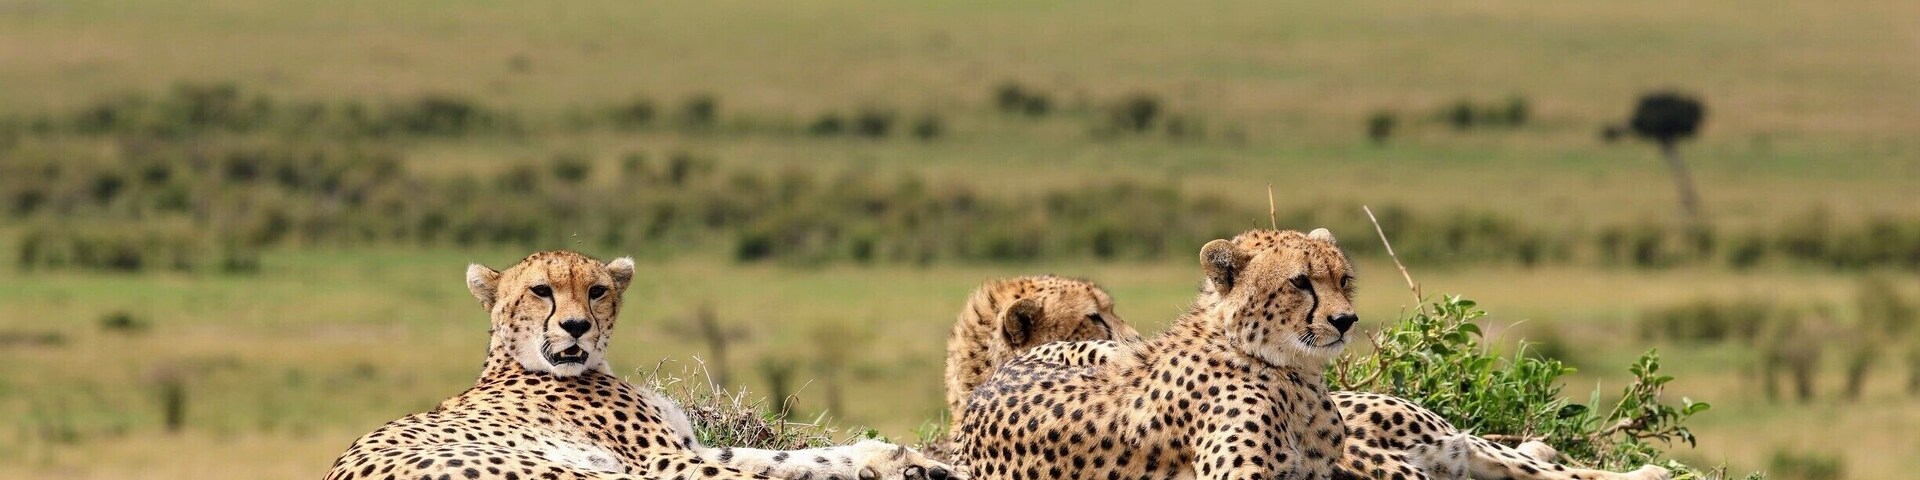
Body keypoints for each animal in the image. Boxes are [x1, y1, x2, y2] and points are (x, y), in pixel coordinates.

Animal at [323, 251, 957, 480]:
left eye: (597, 291)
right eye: (541, 291)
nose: (576, 327)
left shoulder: (686, 447)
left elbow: (792, 455)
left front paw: (903, 460)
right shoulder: (662, 462)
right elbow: (763, 471)